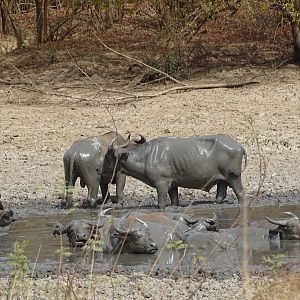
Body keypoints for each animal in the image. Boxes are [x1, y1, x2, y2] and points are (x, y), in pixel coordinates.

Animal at [104, 134, 247, 207]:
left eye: (107, 156)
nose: (99, 168)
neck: (147, 156)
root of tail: (239, 146)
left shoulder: (161, 184)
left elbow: (161, 203)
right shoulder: (173, 185)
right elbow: (174, 200)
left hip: (234, 177)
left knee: (240, 193)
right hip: (223, 178)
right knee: (221, 192)